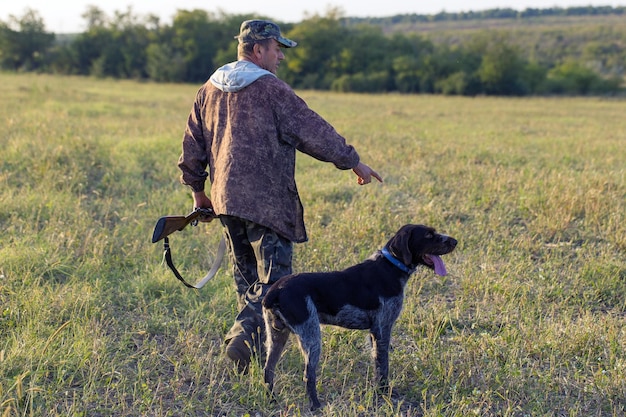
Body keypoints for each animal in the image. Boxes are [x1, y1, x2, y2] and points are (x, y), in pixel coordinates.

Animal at [260, 224, 456, 410]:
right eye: (429, 235)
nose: (455, 241)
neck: (391, 267)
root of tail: (274, 291)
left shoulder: (374, 333)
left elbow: (377, 364)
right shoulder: (382, 329)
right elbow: (383, 366)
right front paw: (385, 392)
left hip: (276, 336)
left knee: (268, 370)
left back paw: (272, 400)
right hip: (311, 337)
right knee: (308, 375)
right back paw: (315, 406)